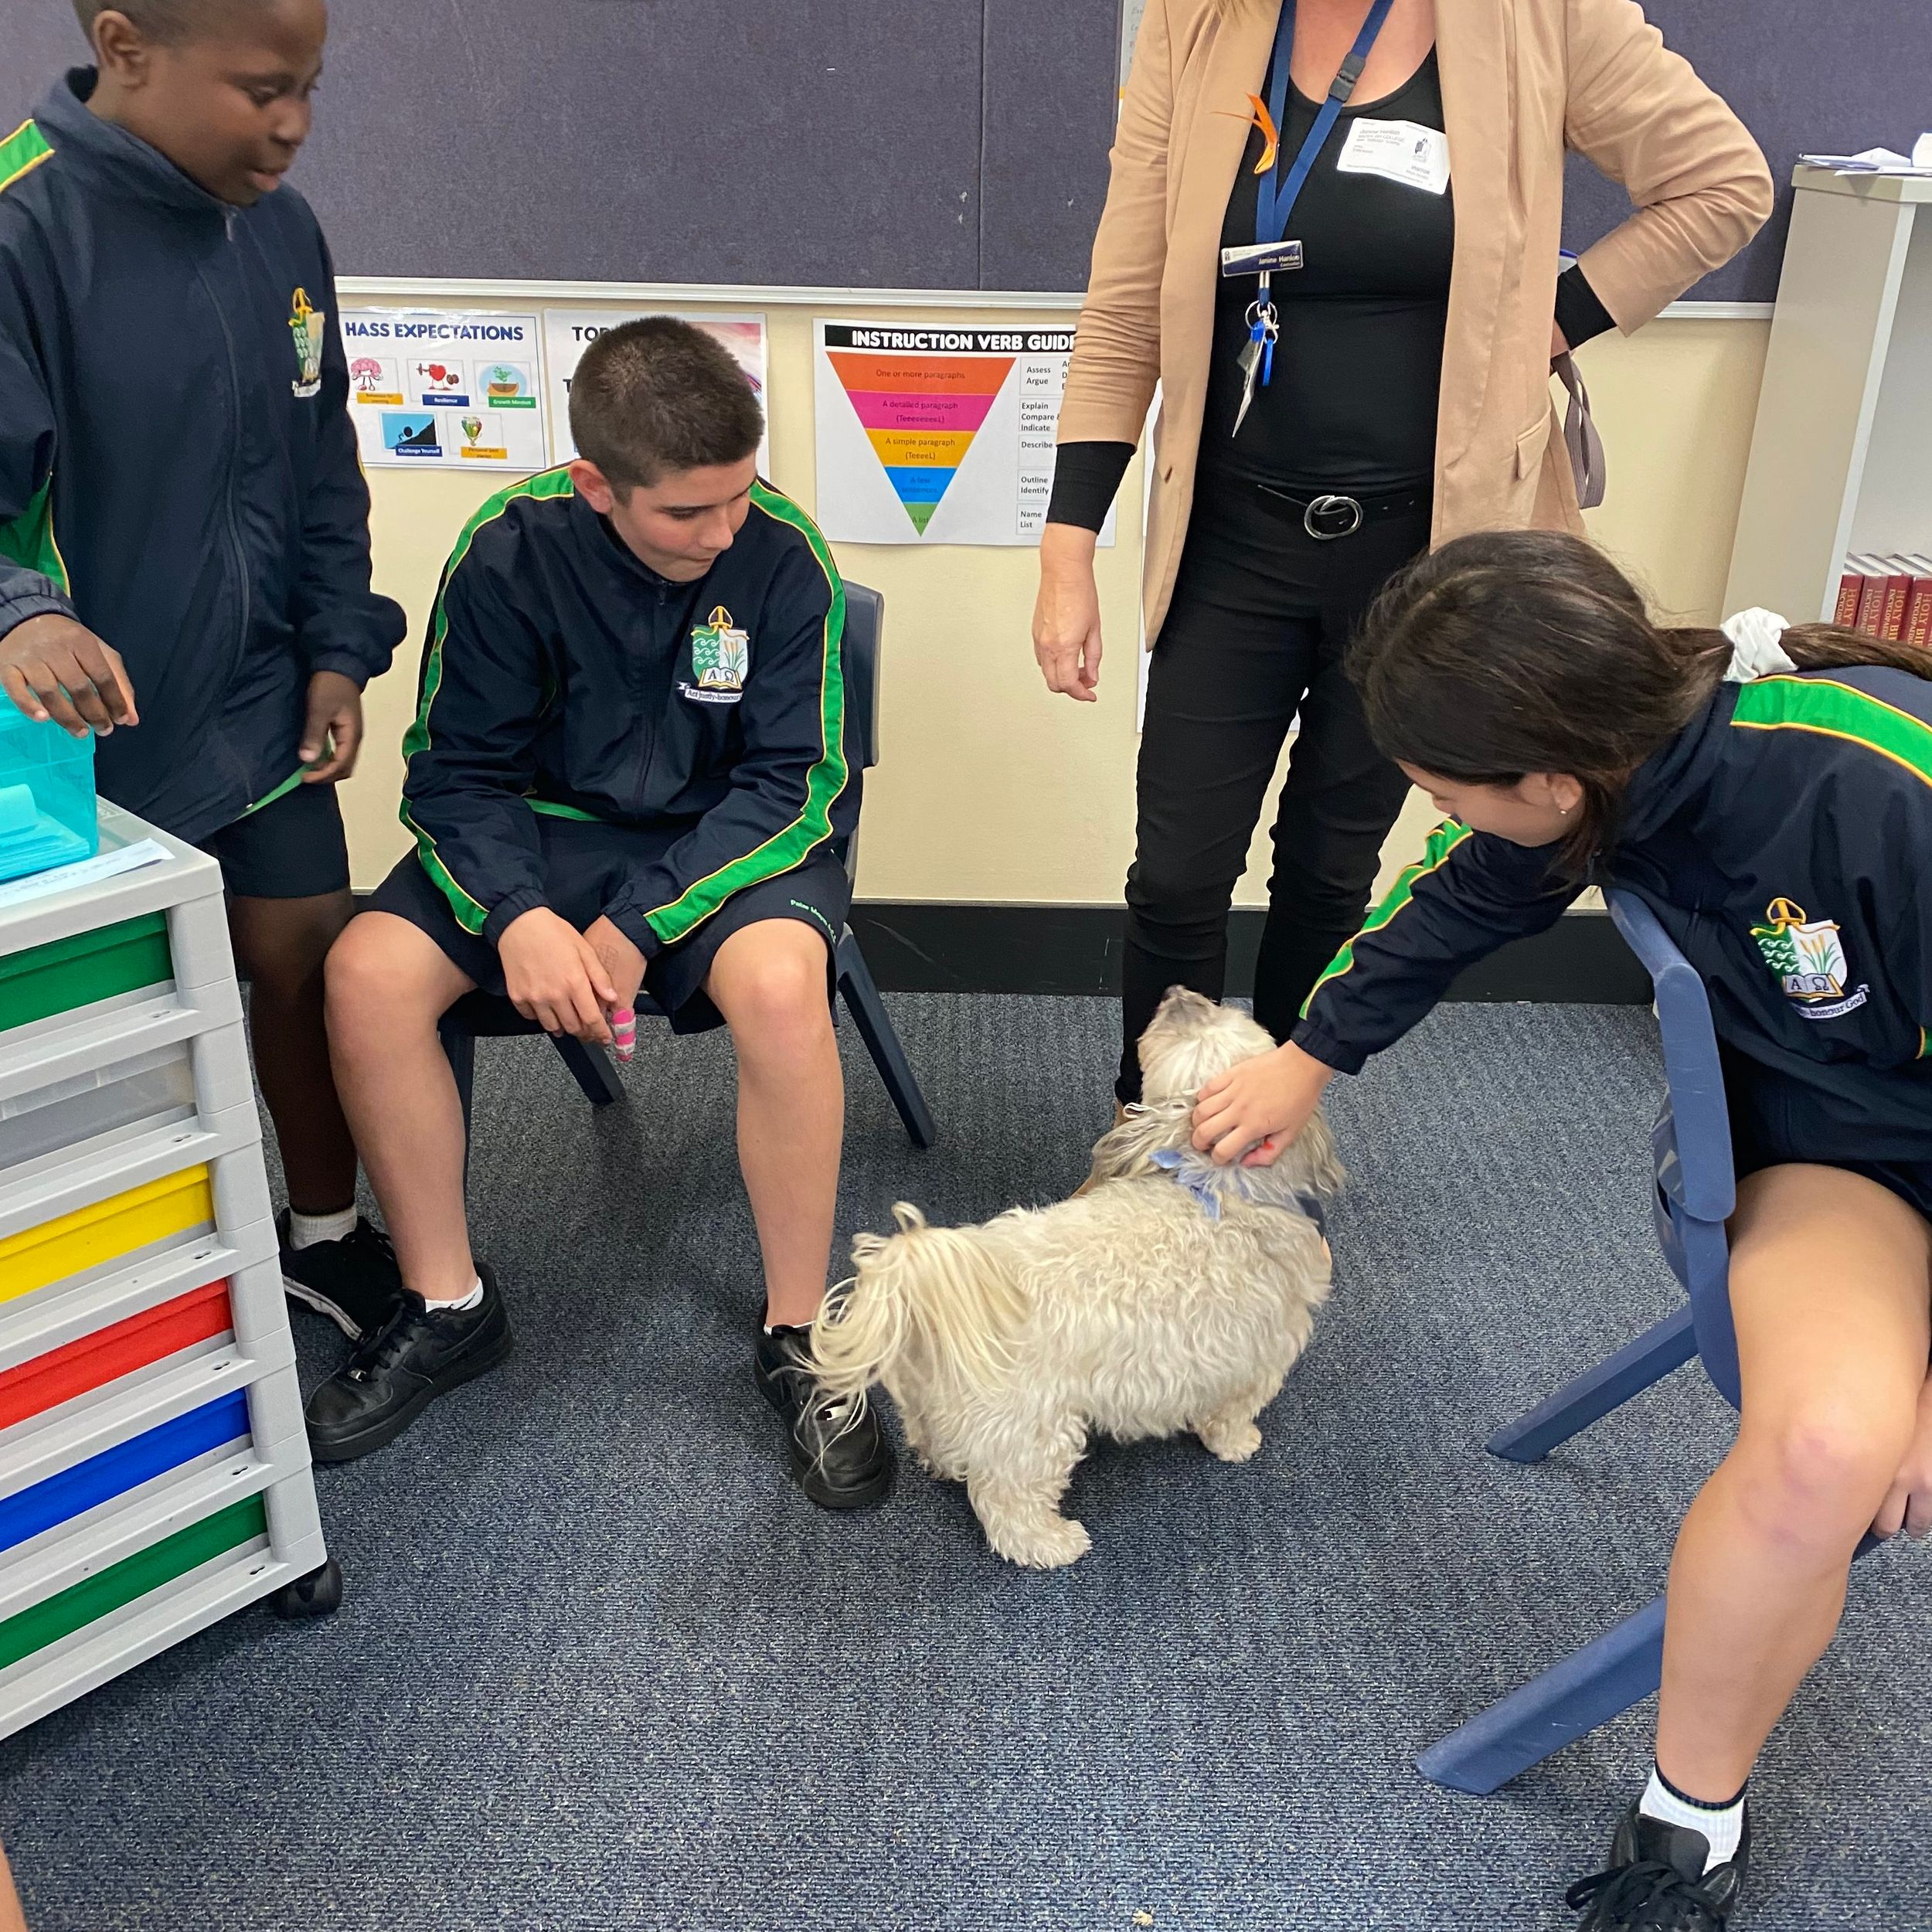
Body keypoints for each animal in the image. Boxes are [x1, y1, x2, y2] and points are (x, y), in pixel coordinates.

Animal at [808, 988, 1341, 1568]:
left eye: (1217, 1014)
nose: (1178, 993)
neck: (1218, 1188)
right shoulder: (1257, 1355)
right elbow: (1231, 1412)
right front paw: (1238, 1443)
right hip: (1033, 1431)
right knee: (1008, 1505)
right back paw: (1053, 1542)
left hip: (940, 1403)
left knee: (935, 1438)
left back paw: (943, 1462)